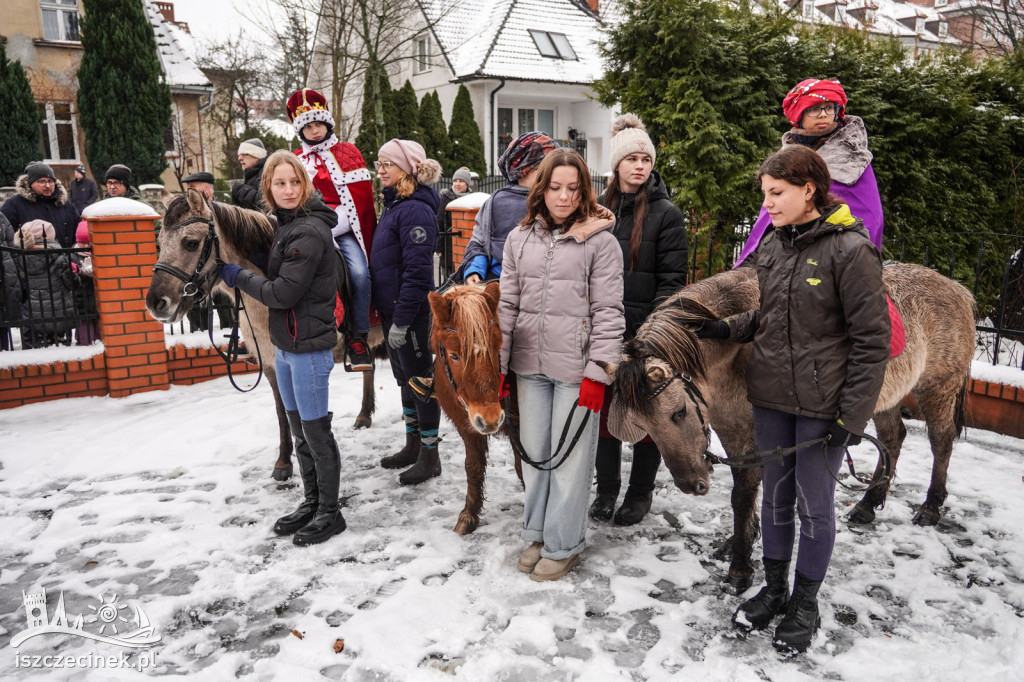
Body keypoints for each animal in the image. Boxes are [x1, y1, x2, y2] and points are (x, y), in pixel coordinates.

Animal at [146, 189, 382, 477]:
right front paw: (283, 462)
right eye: (160, 241)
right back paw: (364, 414)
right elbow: (283, 411)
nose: (156, 303)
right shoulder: (272, 364)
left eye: (191, 243)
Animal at [425, 280, 520, 532]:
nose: (491, 419)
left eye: (498, 347)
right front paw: (469, 515)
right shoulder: (467, 427)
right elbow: (473, 467)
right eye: (454, 355)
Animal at [606, 260, 974, 589]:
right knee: (893, 438)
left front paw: (740, 568)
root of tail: (959, 291)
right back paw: (868, 504)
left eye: (679, 412)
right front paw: (739, 542)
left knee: (941, 442)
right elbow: (744, 492)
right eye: (645, 425)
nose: (691, 485)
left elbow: (744, 494)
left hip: (938, 388)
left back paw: (931, 506)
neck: (738, 351)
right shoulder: (732, 428)